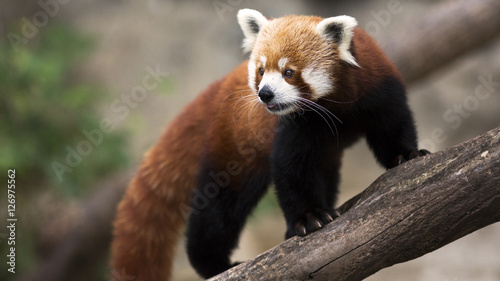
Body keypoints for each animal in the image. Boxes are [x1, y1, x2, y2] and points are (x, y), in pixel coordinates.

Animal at [110, 8, 430, 278]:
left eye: (289, 72)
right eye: (262, 71)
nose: (264, 94)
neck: (336, 106)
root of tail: (220, 86)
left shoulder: (378, 86)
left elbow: (393, 125)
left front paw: (407, 155)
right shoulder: (297, 125)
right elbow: (291, 169)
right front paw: (308, 218)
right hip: (232, 145)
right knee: (220, 206)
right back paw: (214, 263)